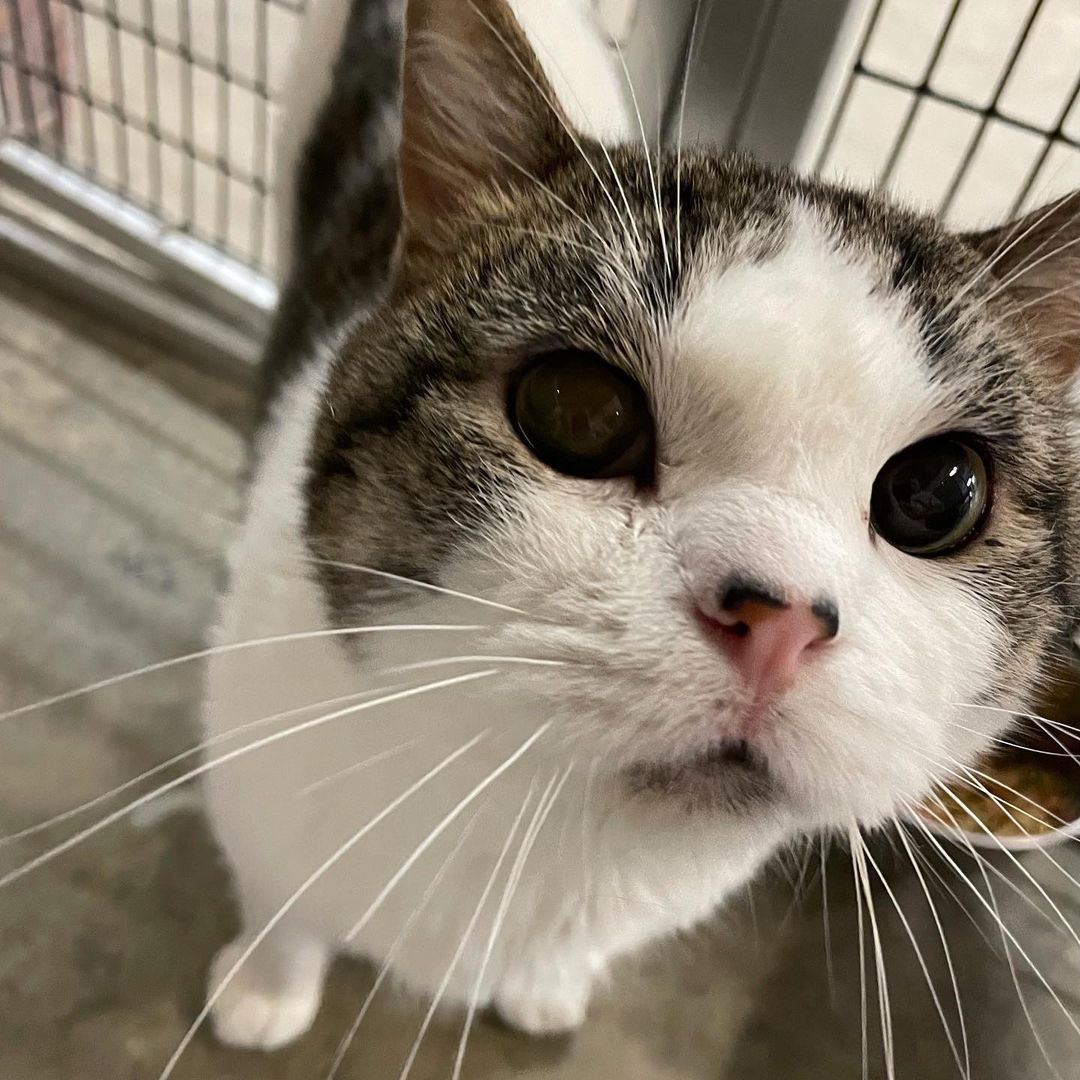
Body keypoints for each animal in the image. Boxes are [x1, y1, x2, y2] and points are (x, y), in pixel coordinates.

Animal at [203, 0, 1080, 1054]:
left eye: (938, 494)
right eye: (577, 411)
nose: (781, 619)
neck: (538, 814)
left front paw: (546, 982)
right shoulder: (257, 794)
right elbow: (284, 900)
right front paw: (267, 983)